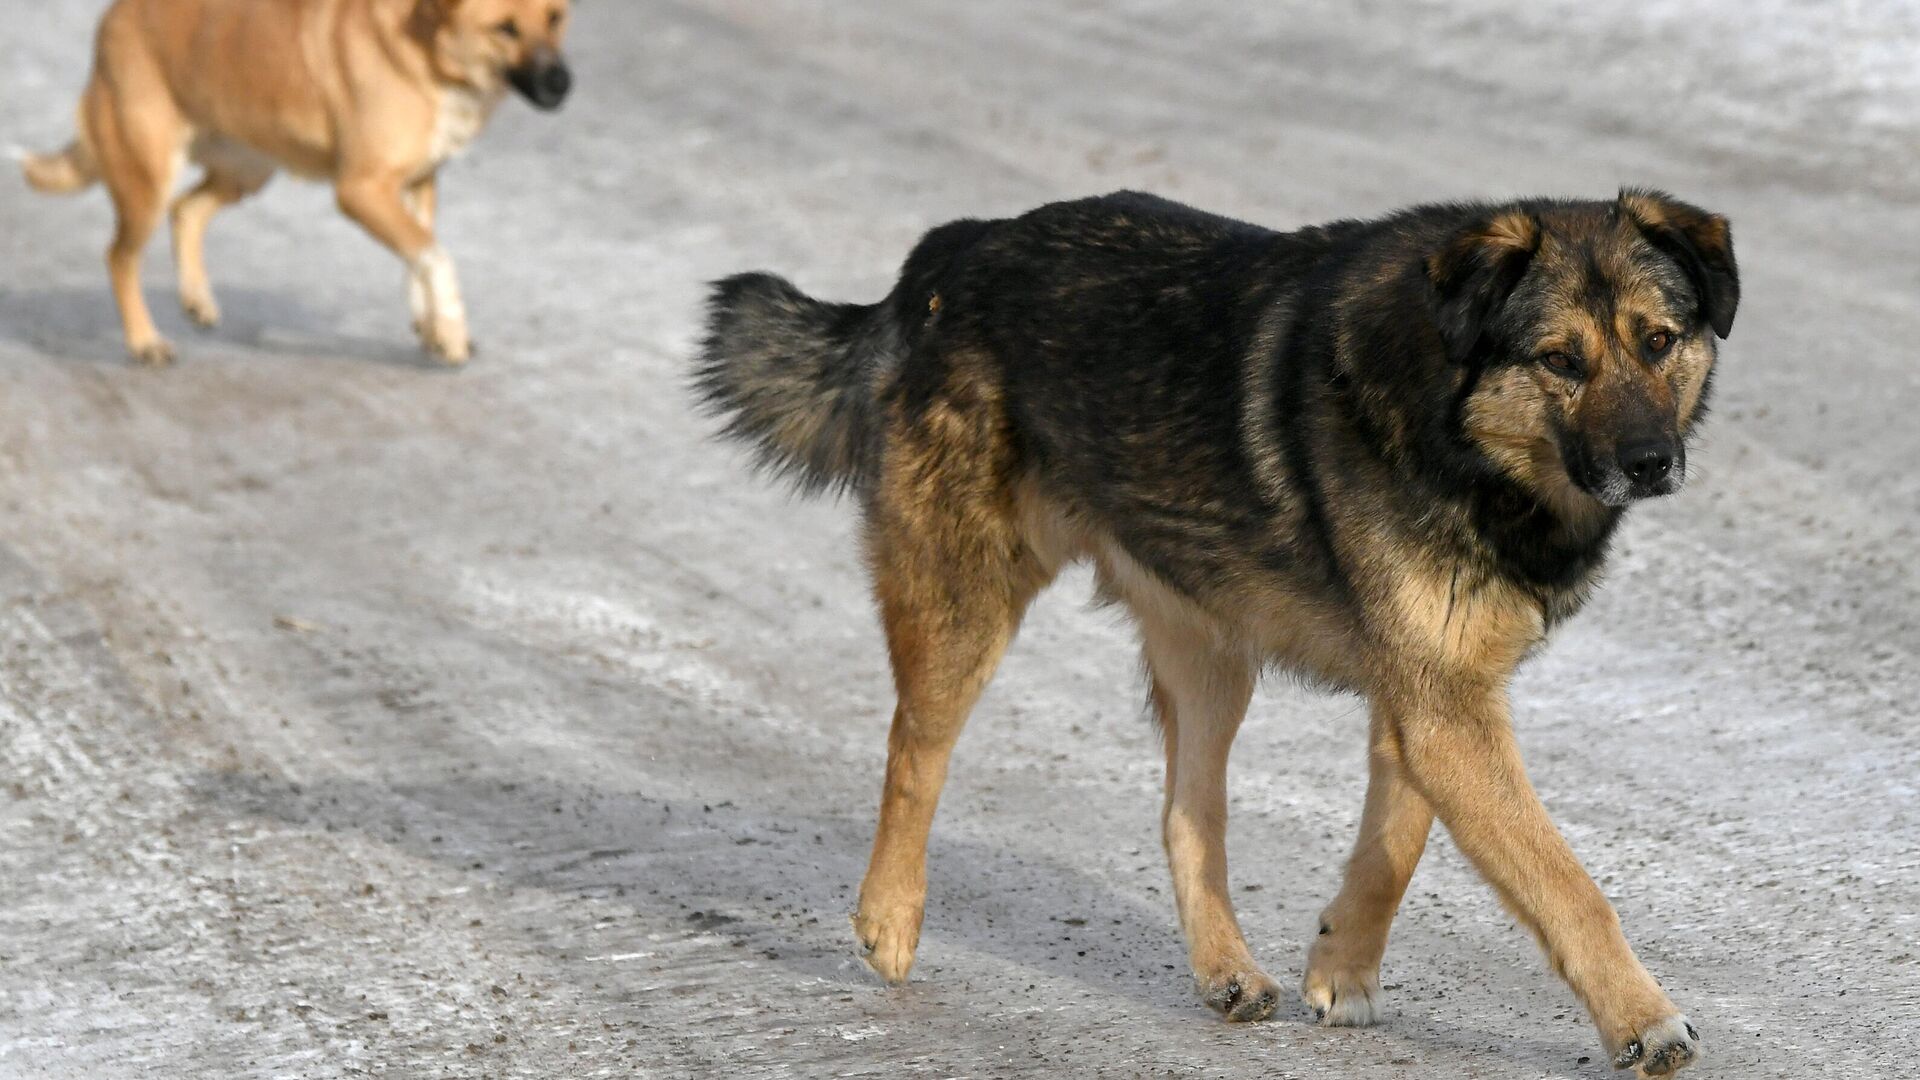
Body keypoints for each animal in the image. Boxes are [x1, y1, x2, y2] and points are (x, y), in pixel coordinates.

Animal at [22, 0, 572, 365]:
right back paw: (144, 341)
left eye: (556, 18)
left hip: (248, 168)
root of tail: (112, 19)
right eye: (504, 29)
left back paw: (197, 298)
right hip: (147, 177)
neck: (423, 50)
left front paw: (432, 326)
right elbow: (434, 255)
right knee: (120, 257)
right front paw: (452, 331)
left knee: (187, 211)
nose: (563, 85)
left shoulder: (419, 183)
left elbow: (419, 255)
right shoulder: (361, 191)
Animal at [695, 189, 1743, 1068]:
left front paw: (1342, 966)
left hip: (1210, 653)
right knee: (914, 751)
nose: (1652, 461)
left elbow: (1396, 843)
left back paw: (1226, 969)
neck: (1462, 433)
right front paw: (1643, 1018)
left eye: (1659, 341)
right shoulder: (1444, 709)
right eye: (1560, 359)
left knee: (1184, 813)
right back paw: (889, 921)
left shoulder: (1431, 697)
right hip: (966, 600)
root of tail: (952, 251)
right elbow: (1567, 885)